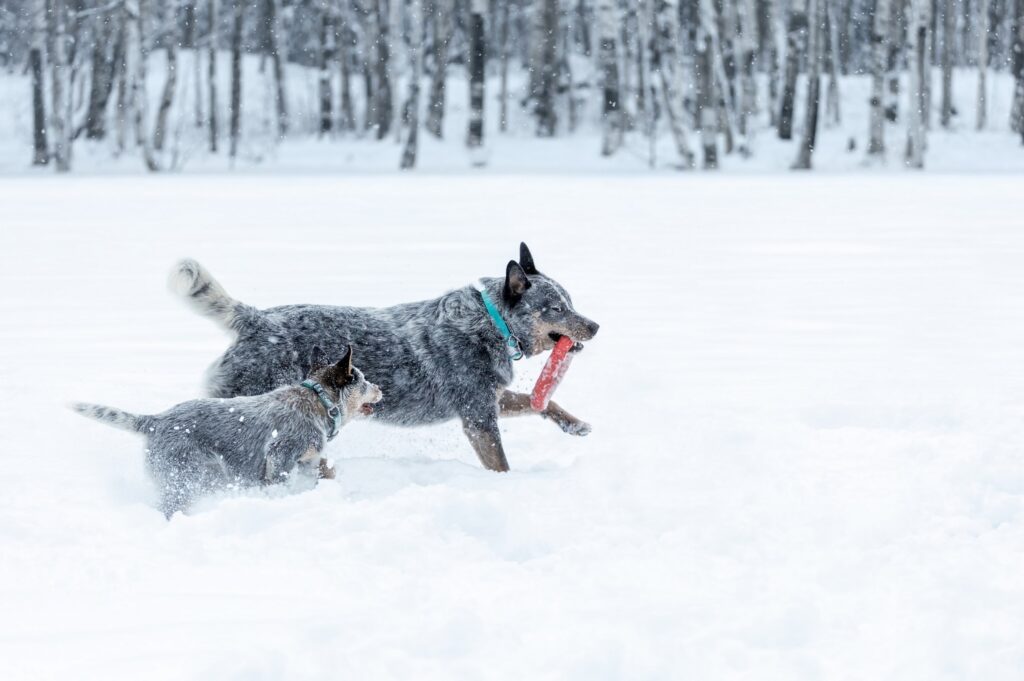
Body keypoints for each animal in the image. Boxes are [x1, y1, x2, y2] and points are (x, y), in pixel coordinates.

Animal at [72, 346, 382, 516]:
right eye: (364, 381)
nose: (380, 388)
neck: (318, 400)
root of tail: (155, 421)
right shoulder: (281, 456)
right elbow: (283, 483)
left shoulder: (309, 459)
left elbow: (325, 467)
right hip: (186, 476)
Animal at [169, 244, 598, 473]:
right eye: (556, 308)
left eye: (571, 302)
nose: (595, 326)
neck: (490, 322)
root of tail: (256, 318)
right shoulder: (478, 417)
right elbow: (501, 462)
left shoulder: (489, 398)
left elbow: (542, 403)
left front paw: (575, 425)